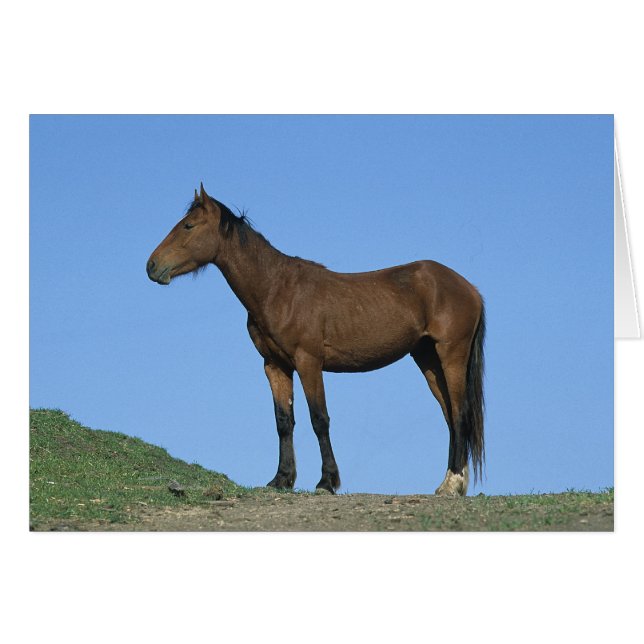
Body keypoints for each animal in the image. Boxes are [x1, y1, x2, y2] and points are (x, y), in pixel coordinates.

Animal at [147, 184, 485, 496]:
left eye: (188, 225)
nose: (152, 266)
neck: (277, 288)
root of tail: (470, 288)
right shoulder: (275, 365)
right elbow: (284, 421)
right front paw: (281, 479)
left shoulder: (308, 362)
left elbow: (319, 419)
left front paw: (326, 482)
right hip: (427, 359)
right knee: (450, 416)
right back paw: (450, 483)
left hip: (450, 355)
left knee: (460, 414)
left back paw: (452, 484)